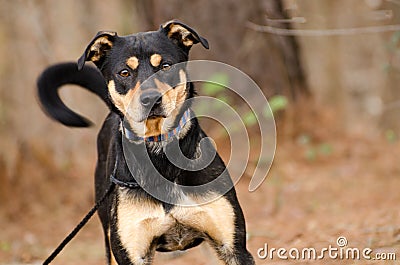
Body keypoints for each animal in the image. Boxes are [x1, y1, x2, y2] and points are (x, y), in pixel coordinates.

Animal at [36, 21, 253, 264]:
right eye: (124, 72)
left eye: (166, 66)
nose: (151, 99)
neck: (159, 149)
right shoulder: (131, 253)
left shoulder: (233, 246)